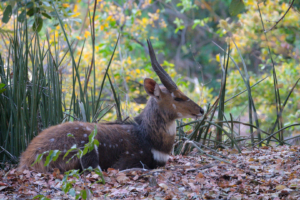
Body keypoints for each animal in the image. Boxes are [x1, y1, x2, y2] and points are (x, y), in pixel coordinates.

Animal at [17, 39, 204, 173]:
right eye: (178, 98)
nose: (201, 110)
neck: (148, 139)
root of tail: (28, 159)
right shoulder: (128, 160)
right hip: (86, 149)